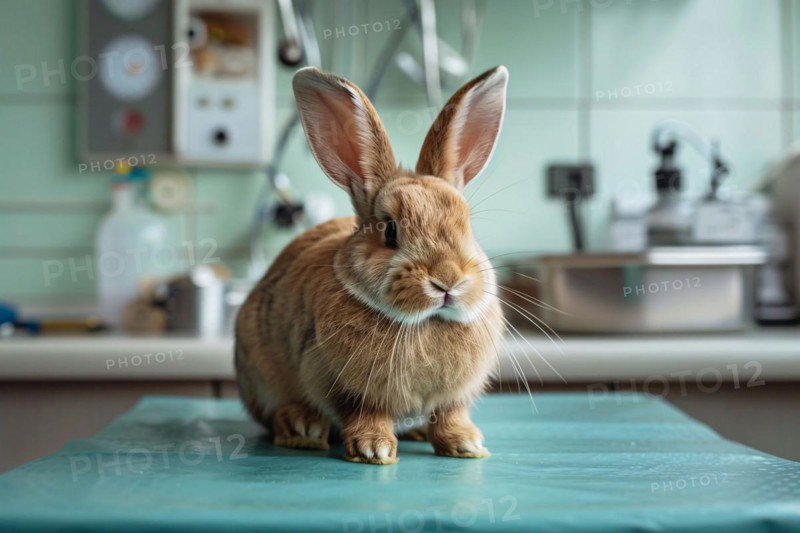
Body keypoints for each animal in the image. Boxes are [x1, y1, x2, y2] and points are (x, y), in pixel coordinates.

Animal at [235, 65, 508, 465]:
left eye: (467, 225)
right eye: (390, 230)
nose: (447, 280)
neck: (423, 323)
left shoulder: (455, 396)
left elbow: (450, 415)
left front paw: (466, 444)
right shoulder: (339, 383)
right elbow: (366, 412)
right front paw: (373, 449)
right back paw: (302, 428)